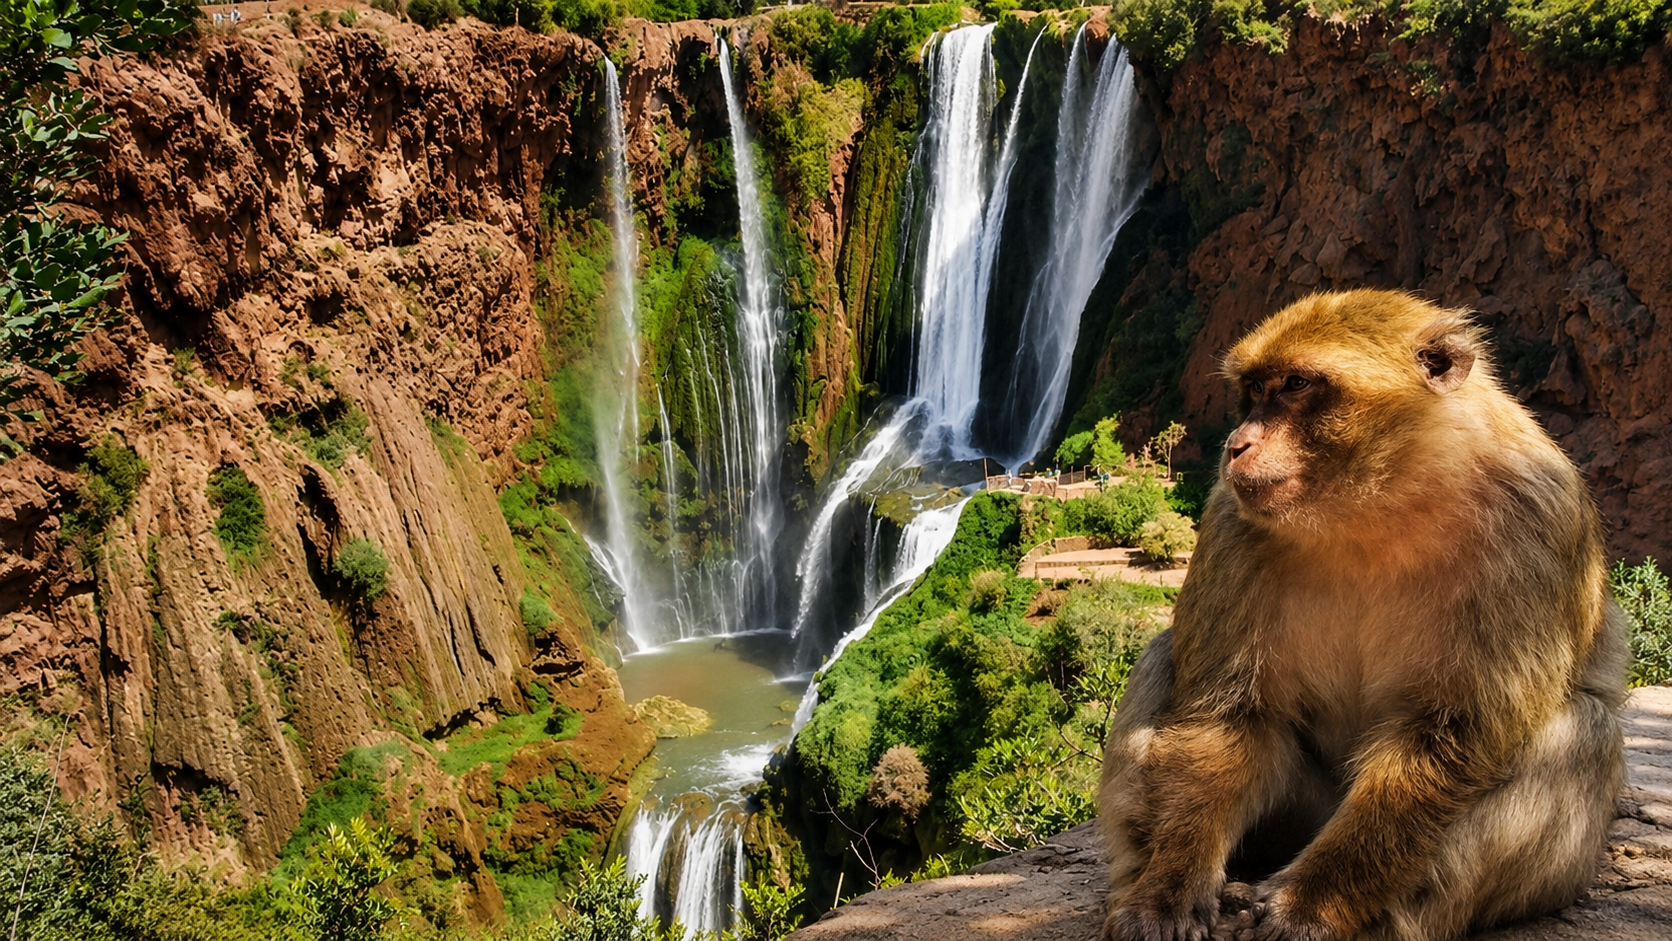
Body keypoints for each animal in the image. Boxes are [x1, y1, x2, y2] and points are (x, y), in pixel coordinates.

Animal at [1097, 290, 1628, 941]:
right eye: (1255, 391)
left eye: (1296, 385)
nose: (1236, 444)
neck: (1380, 507)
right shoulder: (1229, 519)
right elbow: (1230, 717)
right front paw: (1168, 889)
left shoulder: (1534, 517)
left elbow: (1452, 731)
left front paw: (1309, 905)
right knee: (1161, 657)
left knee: (1581, 731)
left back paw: (1383, 919)